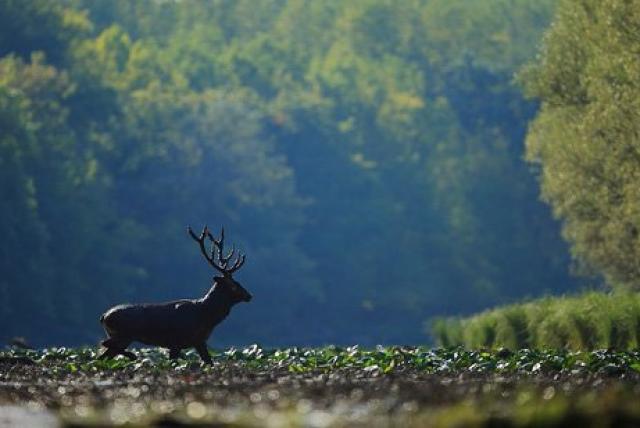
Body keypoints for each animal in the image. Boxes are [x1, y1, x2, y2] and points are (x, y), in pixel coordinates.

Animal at [97, 226, 252, 362]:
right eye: (233, 285)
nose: (249, 295)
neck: (204, 315)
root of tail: (103, 316)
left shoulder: (199, 341)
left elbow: (209, 362)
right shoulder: (176, 342)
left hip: (120, 337)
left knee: (102, 357)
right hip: (123, 334)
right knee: (104, 343)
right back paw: (133, 356)